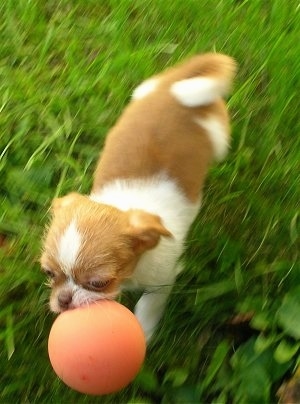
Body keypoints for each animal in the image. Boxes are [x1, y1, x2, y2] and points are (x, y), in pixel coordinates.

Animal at [40, 53, 237, 342]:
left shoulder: (161, 281)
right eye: (49, 273)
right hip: (144, 90)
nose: (64, 300)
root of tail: (172, 89)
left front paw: (144, 331)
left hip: (220, 137)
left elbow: (148, 305)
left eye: (98, 283)